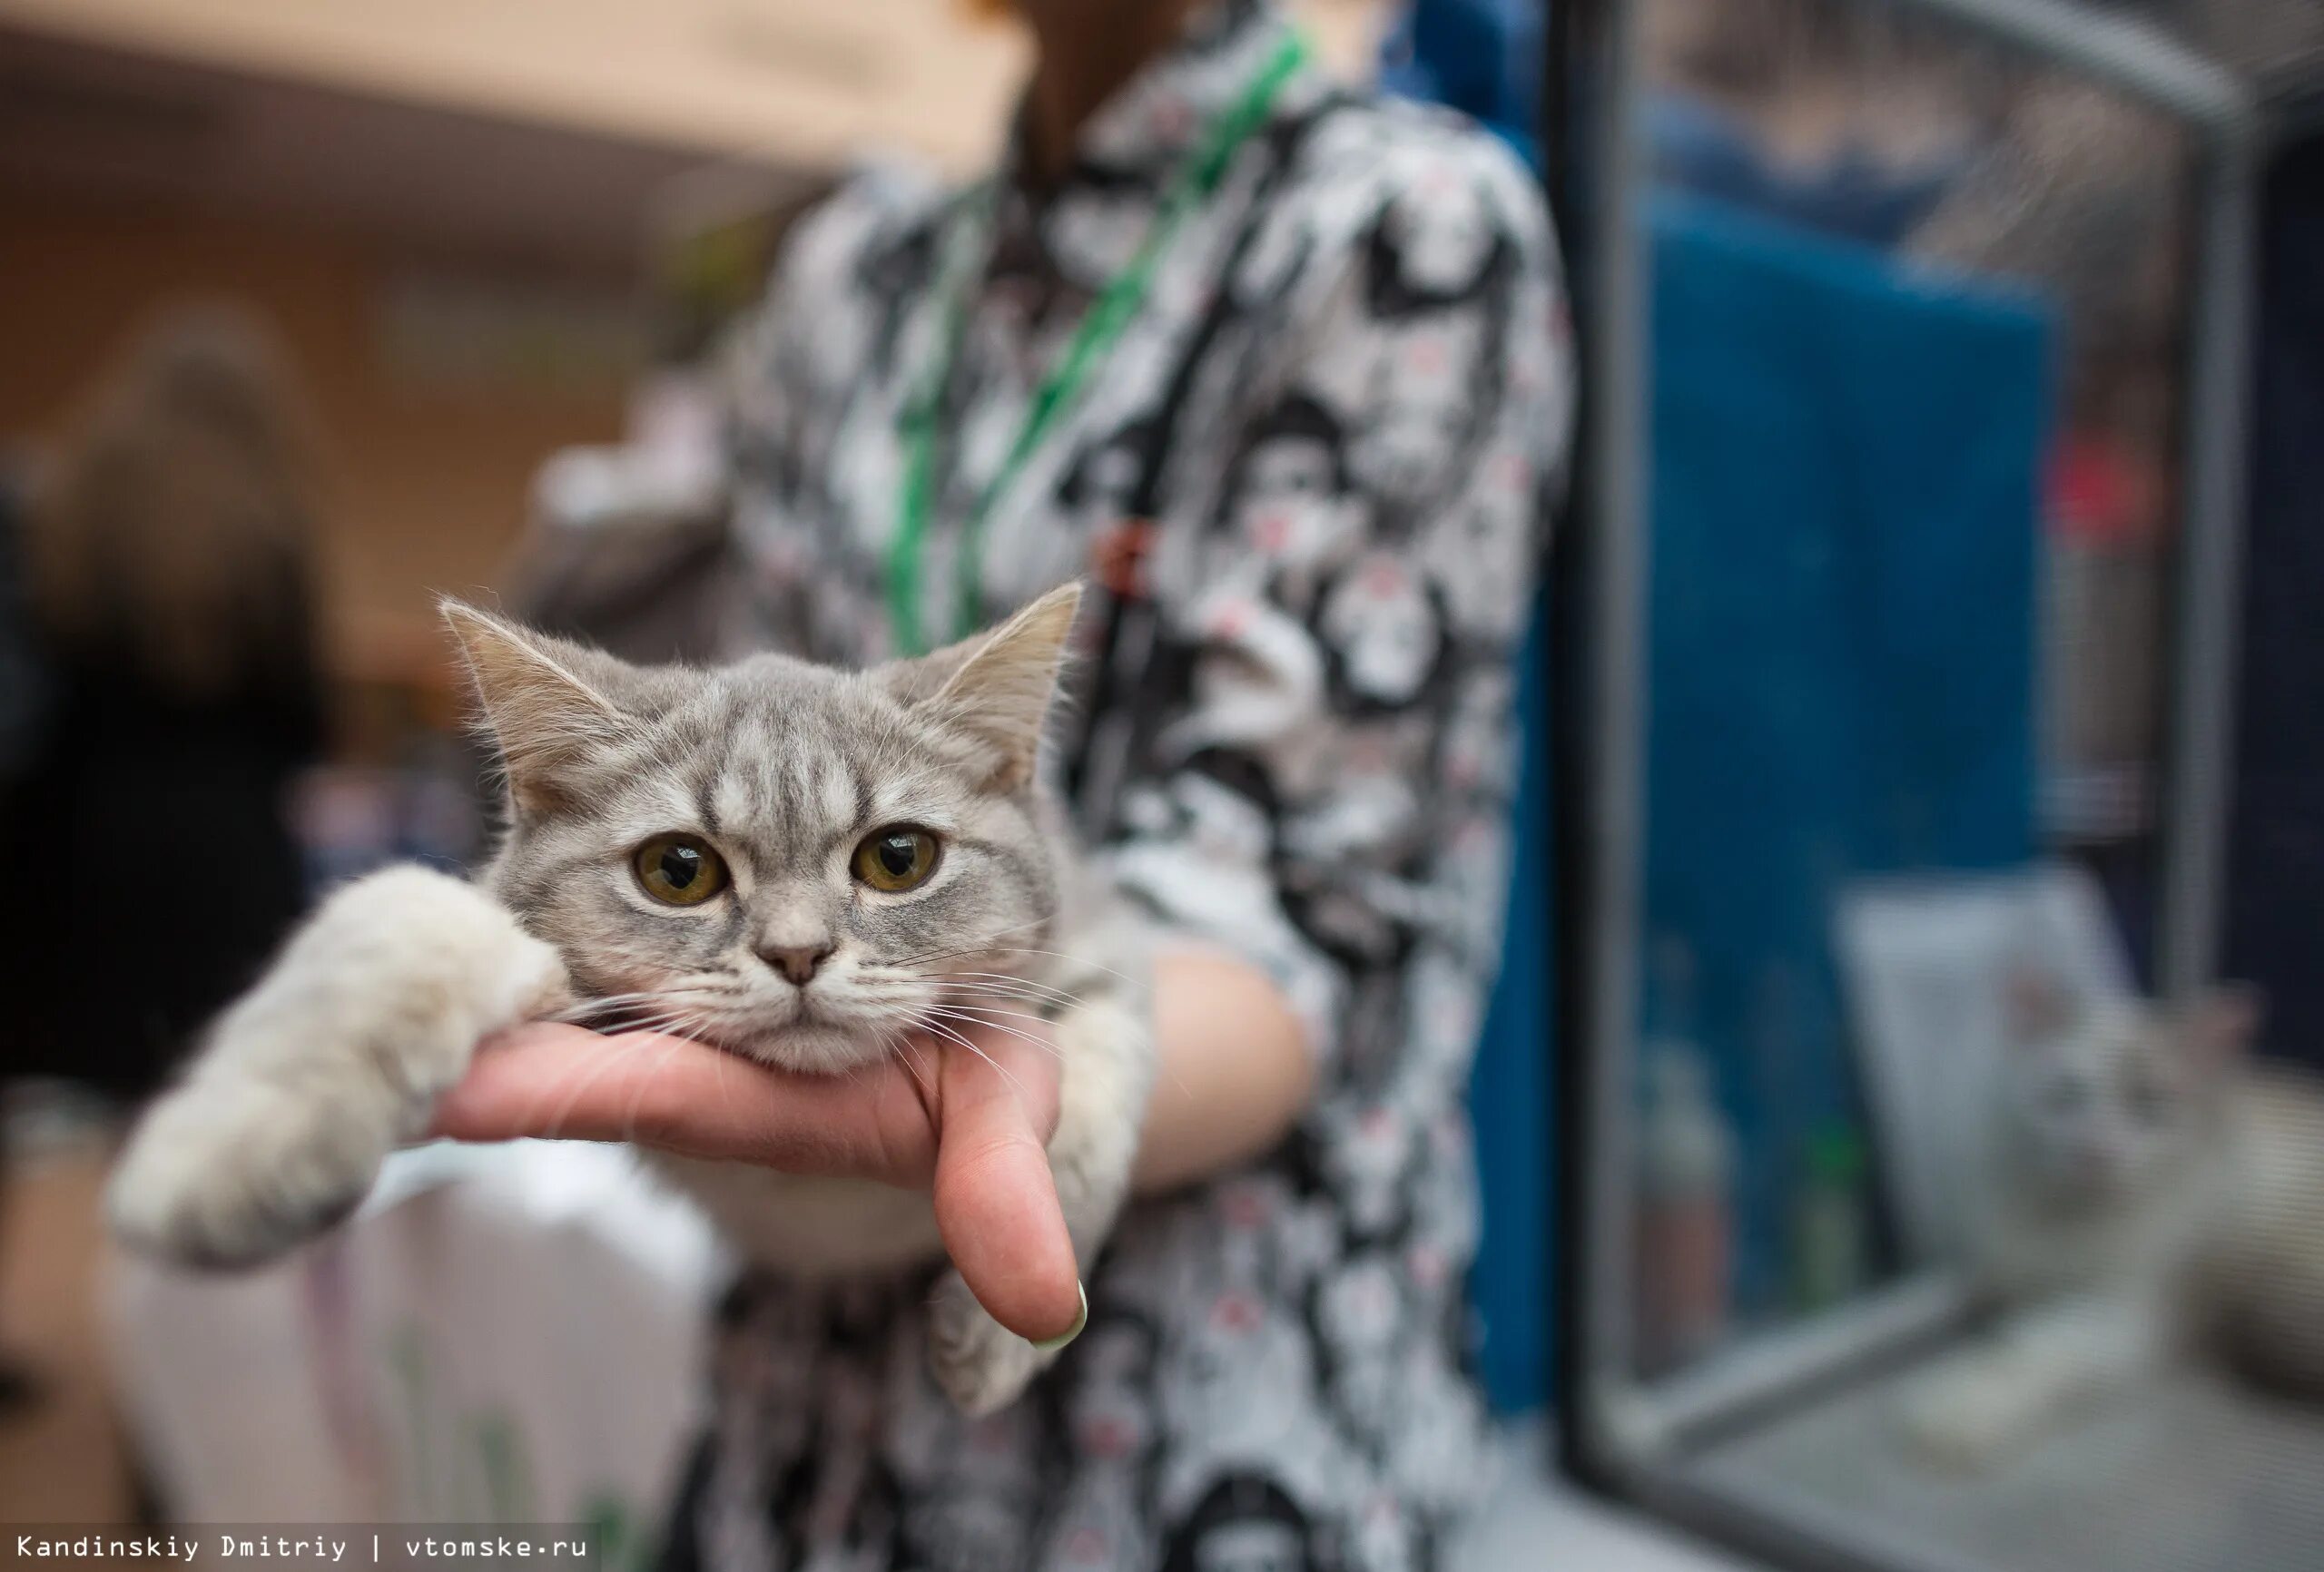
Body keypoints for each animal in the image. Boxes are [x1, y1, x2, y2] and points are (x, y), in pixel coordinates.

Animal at [104, 583, 1157, 1411]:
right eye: (678, 871)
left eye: (899, 858)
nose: (798, 953)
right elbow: (397, 918)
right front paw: (233, 1144)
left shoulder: (1119, 943)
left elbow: (1100, 1082)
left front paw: (1011, 1317)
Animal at [1905, 975, 2324, 1467]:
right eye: (2066, 1092)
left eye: (2151, 1104)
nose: (2096, 1152)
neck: (2073, 1217)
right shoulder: (2007, 1267)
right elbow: (1981, 1302)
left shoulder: (2126, 1313)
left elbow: (2028, 1355)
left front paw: (1958, 1413)